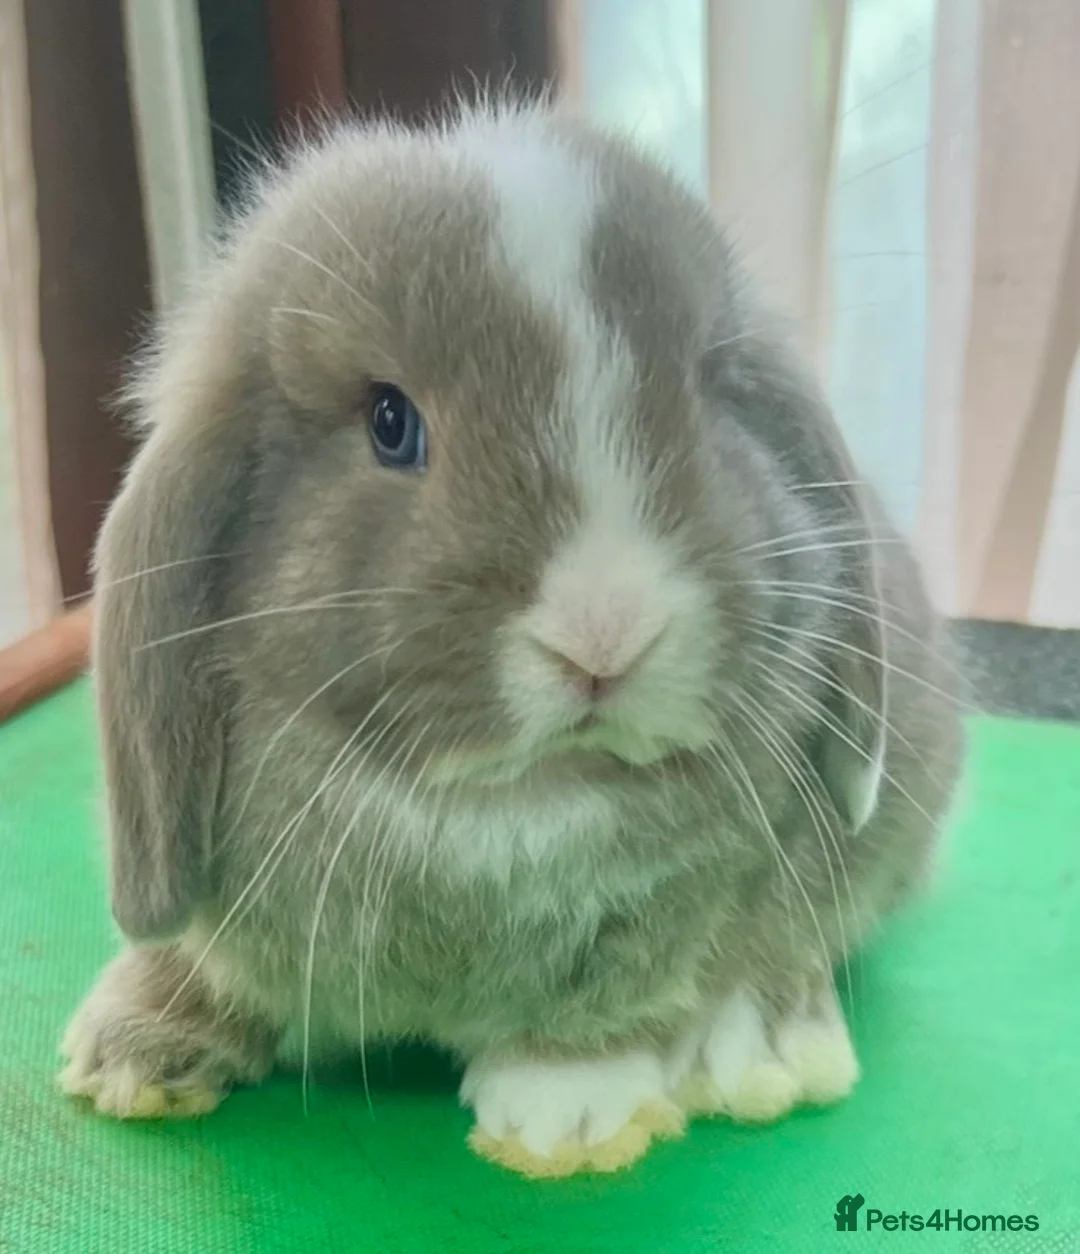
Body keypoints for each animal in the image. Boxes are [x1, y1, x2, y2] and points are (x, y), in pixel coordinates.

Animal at [60, 97, 964, 1178]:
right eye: (390, 422)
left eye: (705, 392)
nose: (606, 632)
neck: (508, 805)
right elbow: (201, 954)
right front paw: (129, 1054)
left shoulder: (655, 918)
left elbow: (611, 999)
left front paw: (565, 1117)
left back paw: (773, 1050)